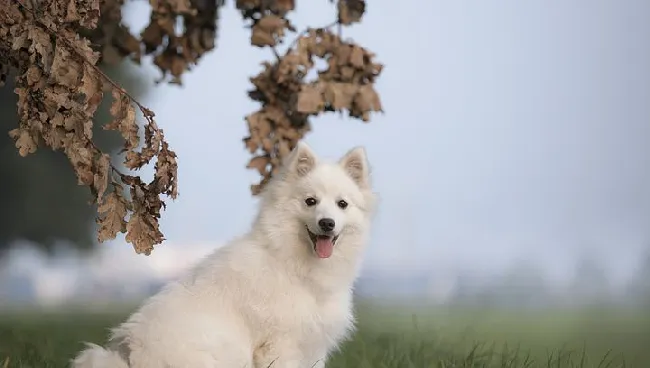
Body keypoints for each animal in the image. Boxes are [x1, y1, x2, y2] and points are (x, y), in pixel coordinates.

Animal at [71, 142, 374, 368]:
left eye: (342, 204)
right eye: (310, 201)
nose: (327, 223)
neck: (291, 263)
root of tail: (131, 356)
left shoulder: (312, 346)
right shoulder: (279, 344)